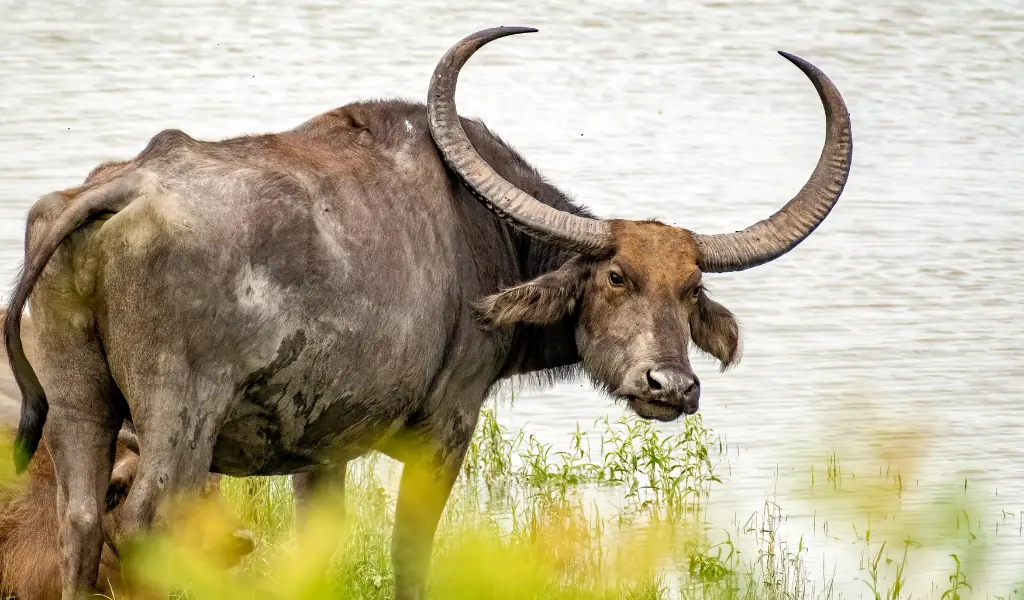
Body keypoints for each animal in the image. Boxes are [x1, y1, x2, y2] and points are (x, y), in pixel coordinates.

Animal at [4, 27, 851, 600]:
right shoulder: (445, 428)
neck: (486, 236)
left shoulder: (320, 451)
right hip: (180, 420)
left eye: (690, 289)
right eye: (616, 276)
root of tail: (119, 188)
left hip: (79, 405)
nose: (670, 386)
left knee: (81, 522)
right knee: (142, 523)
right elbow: (410, 555)